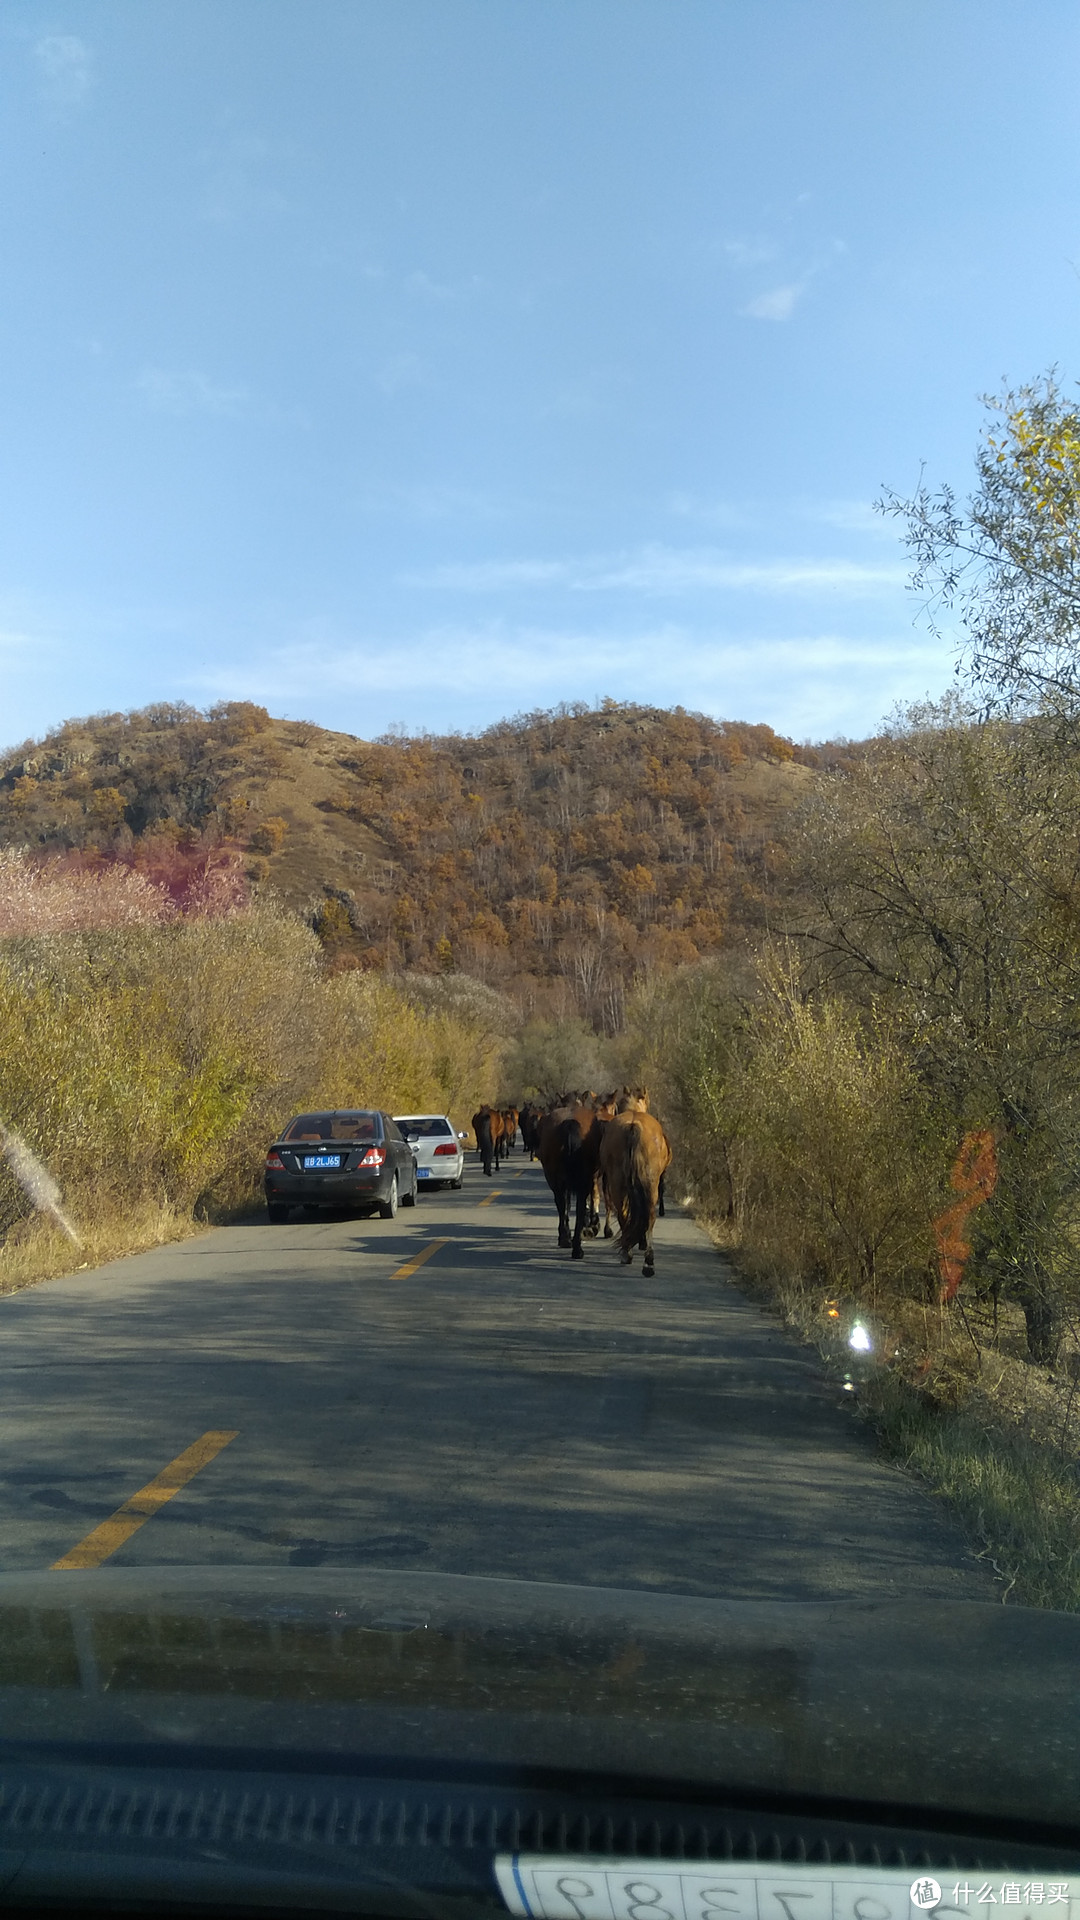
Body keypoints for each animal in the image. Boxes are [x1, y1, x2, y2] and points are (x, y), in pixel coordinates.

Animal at [599, 1113, 668, 1274]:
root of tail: (633, 1126)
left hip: (619, 1182)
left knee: (628, 1214)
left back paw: (634, 1255)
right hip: (646, 1184)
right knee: (646, 1216)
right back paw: (642, 1258)